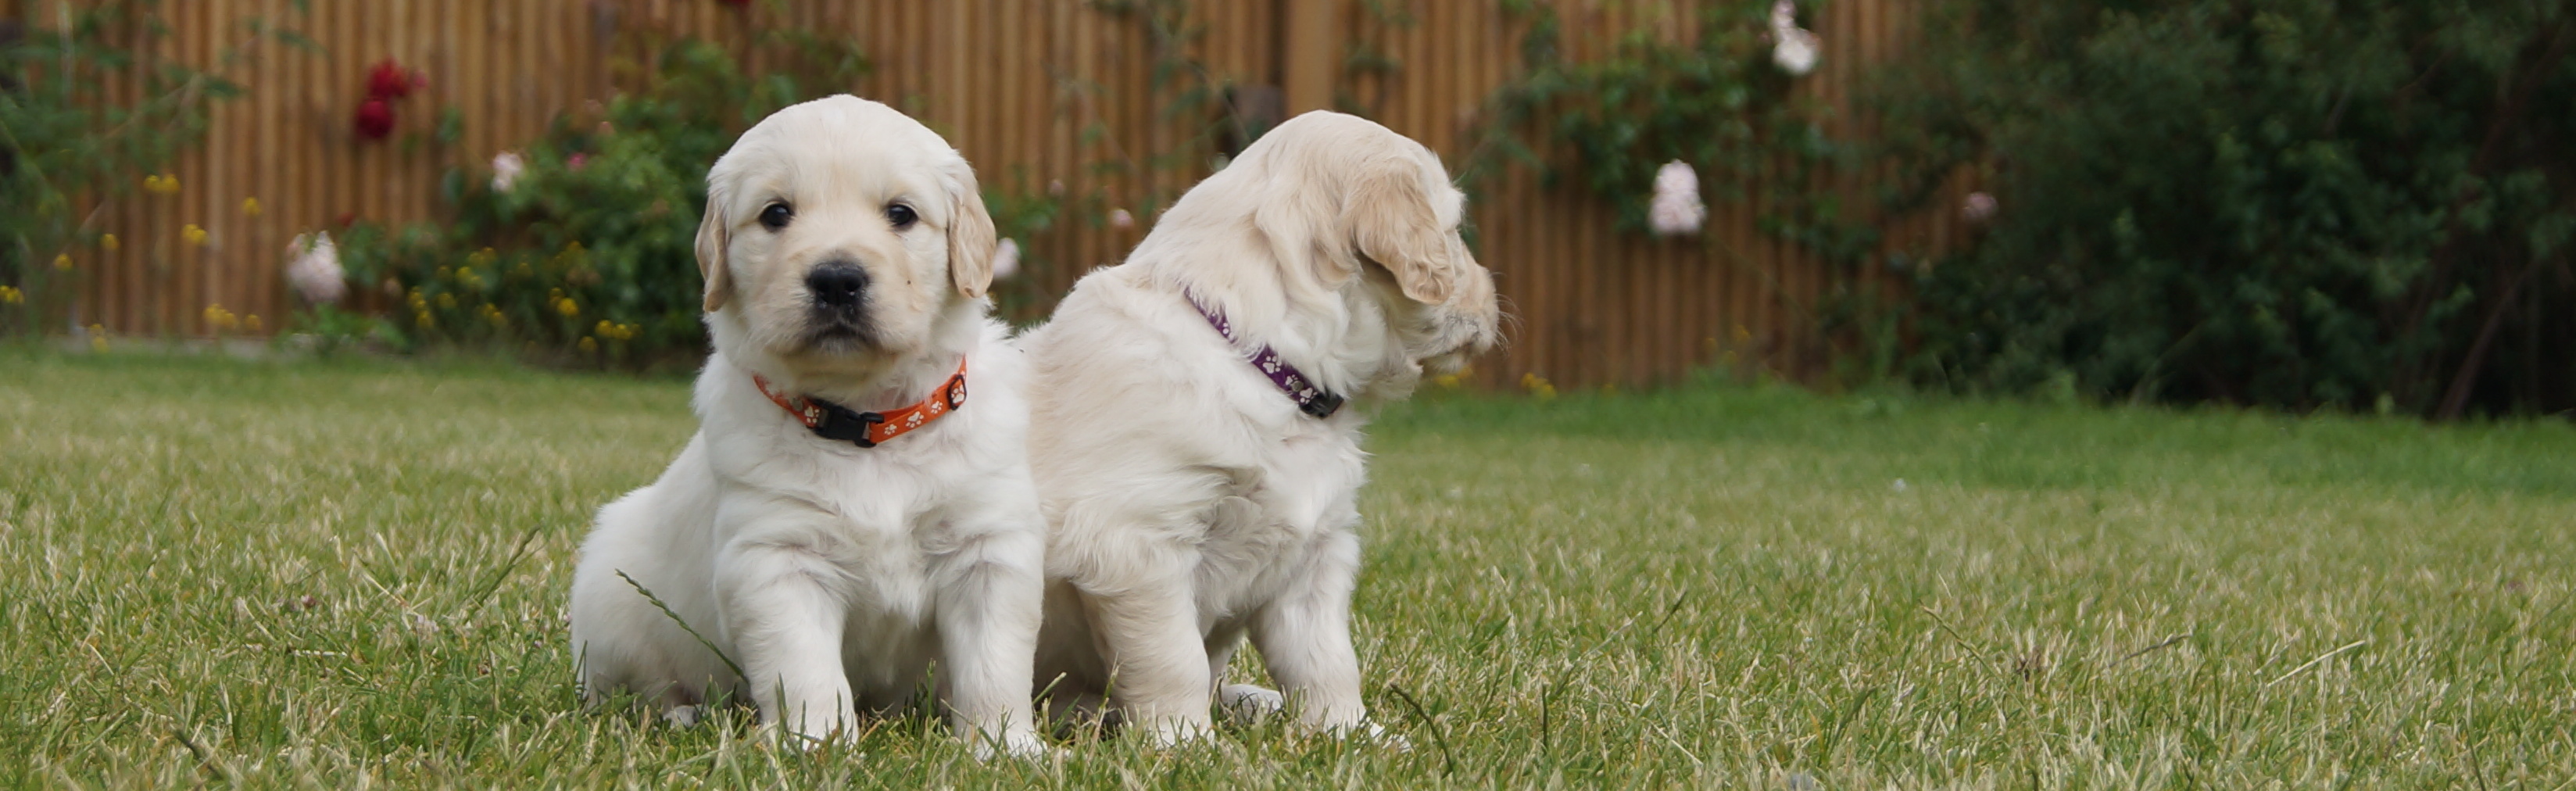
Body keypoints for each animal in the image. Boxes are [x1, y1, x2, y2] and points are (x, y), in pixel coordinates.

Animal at [567, 95, 1046, 757]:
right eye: (776, 214)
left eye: (901, 214)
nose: (837, 278)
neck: (866, 424)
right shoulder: (777, 559)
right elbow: (804, 668)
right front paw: (815, 746)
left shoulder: (988, 549)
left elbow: (994, 664)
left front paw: (1005, 749)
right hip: (611, 603)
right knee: (631, 689)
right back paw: (680, 714)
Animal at [1025, 109, 1504, 742]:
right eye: (1454, 228)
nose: (1493, 294)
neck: (1260, 364)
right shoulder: (1137, 546)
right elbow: (1173, 660)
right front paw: (1186, 743)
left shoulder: (1315, 556)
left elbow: (1326, 662)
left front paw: (1354, 734)